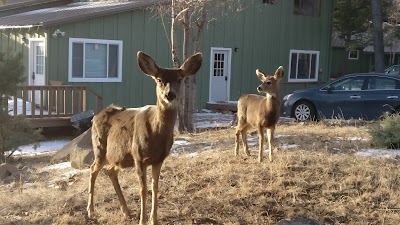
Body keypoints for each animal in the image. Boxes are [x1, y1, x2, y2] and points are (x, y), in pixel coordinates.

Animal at [86, 51, 202, 225]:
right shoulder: (139, 156)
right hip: (100, 147)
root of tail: (96, 116)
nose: (169, 94)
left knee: (110, 170)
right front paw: (143, 220)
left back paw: (126, 211)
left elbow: (155, 188)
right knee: (93, 169)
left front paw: (154, 220)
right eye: (159, 79)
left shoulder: (159, 159)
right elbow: (143, 189)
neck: (157, 134)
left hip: (121, 157)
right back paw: (91, 211)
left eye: (179, 79)